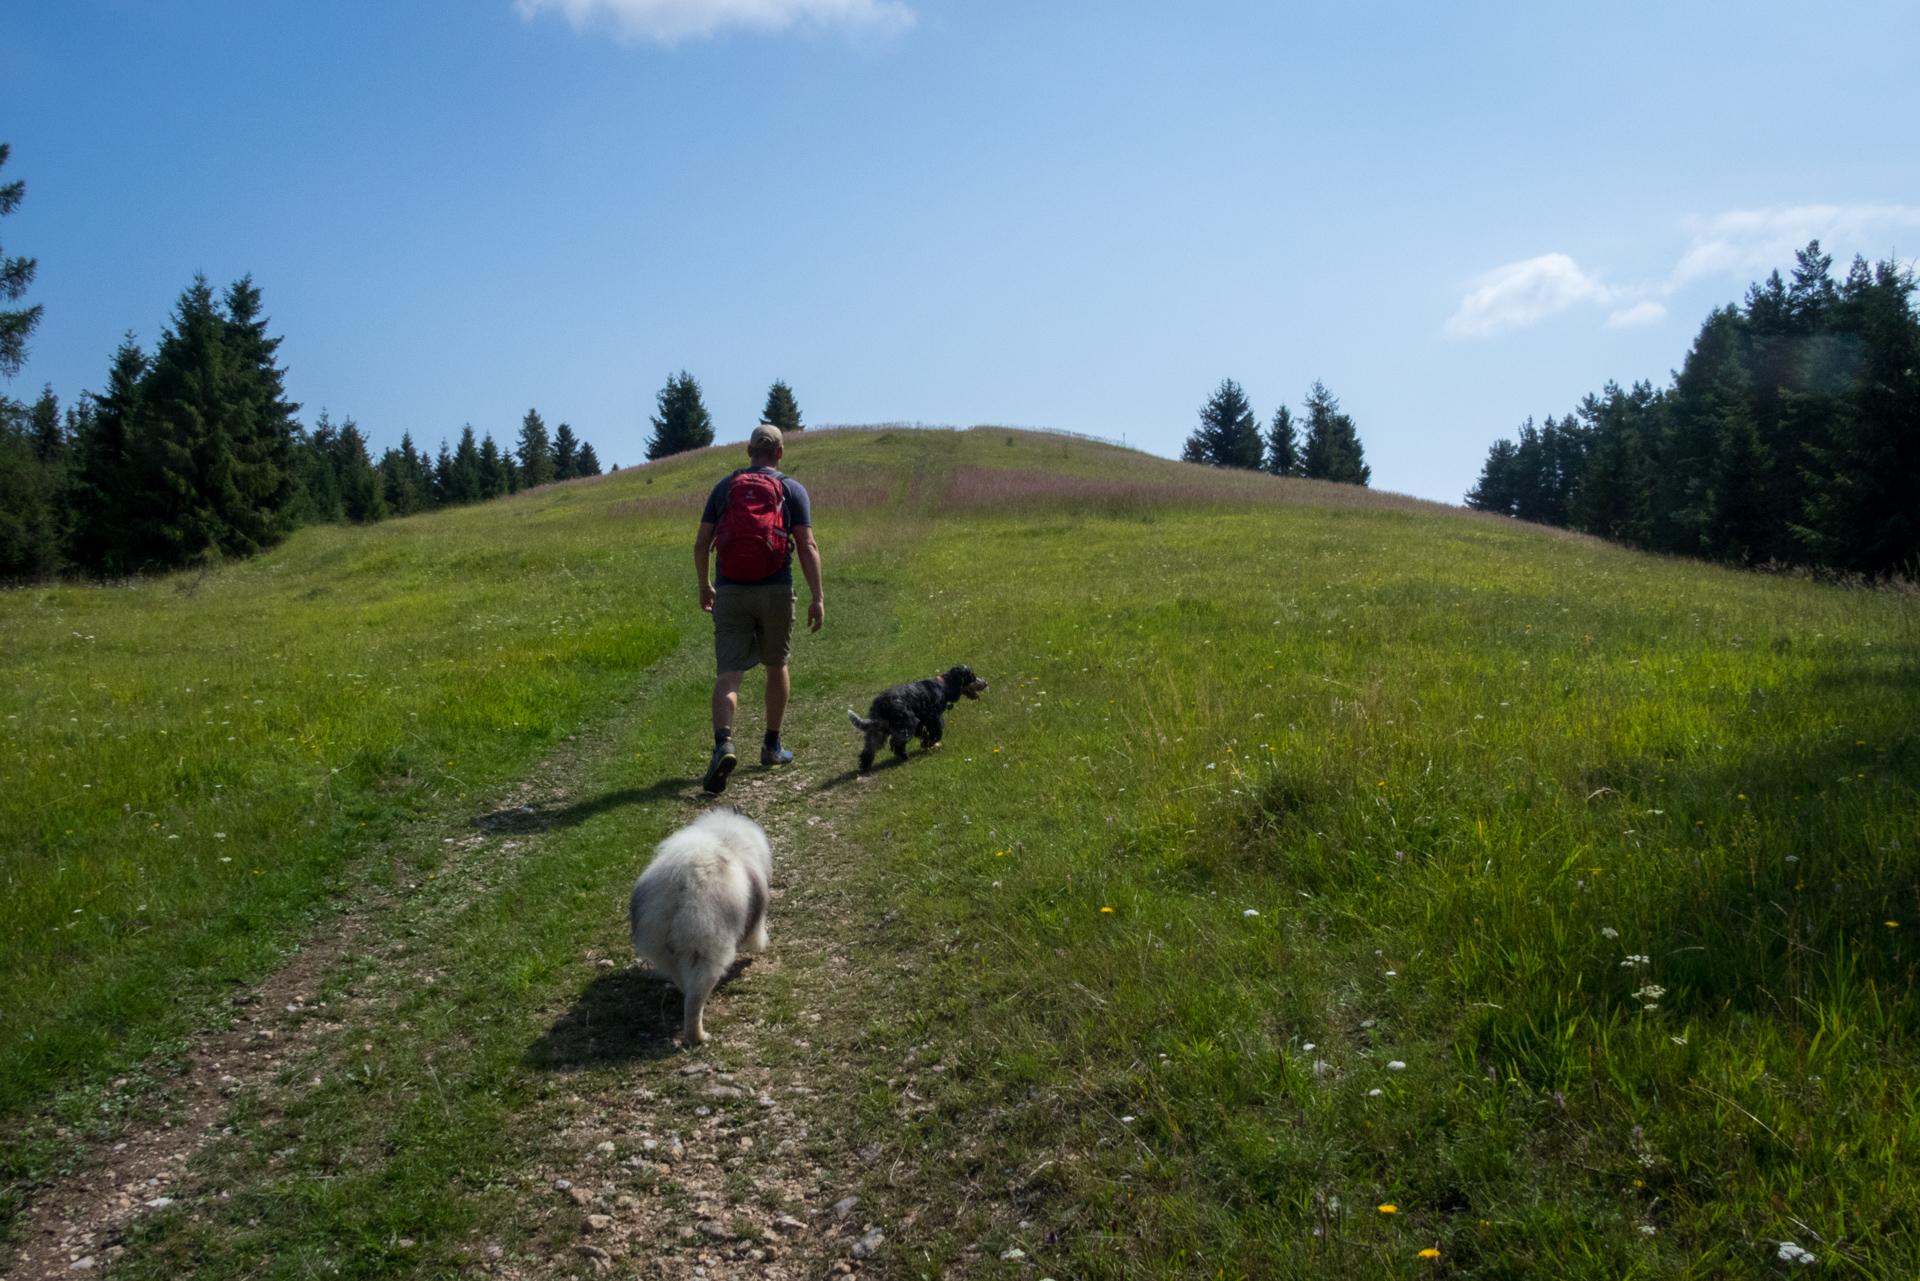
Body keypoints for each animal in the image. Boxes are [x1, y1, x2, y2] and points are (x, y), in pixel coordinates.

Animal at [637, 810, 771, 1044]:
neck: (727, 838)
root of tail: (677, 894)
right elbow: (757, 936)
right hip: (708, 951)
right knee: (695, 999)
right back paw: (698, 1037)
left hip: (666, 954)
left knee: (683, 983)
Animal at [848, 668, 990, 768]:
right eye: (972, 677)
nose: (986, 683)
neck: (943, 686)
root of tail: (879, 704)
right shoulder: (934, 719)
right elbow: (936, 735)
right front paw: (927, 744)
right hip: (907, 724)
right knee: (896, 744)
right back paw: (905, 757)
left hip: (878, 730)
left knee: (869, 747)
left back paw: (865, 765)